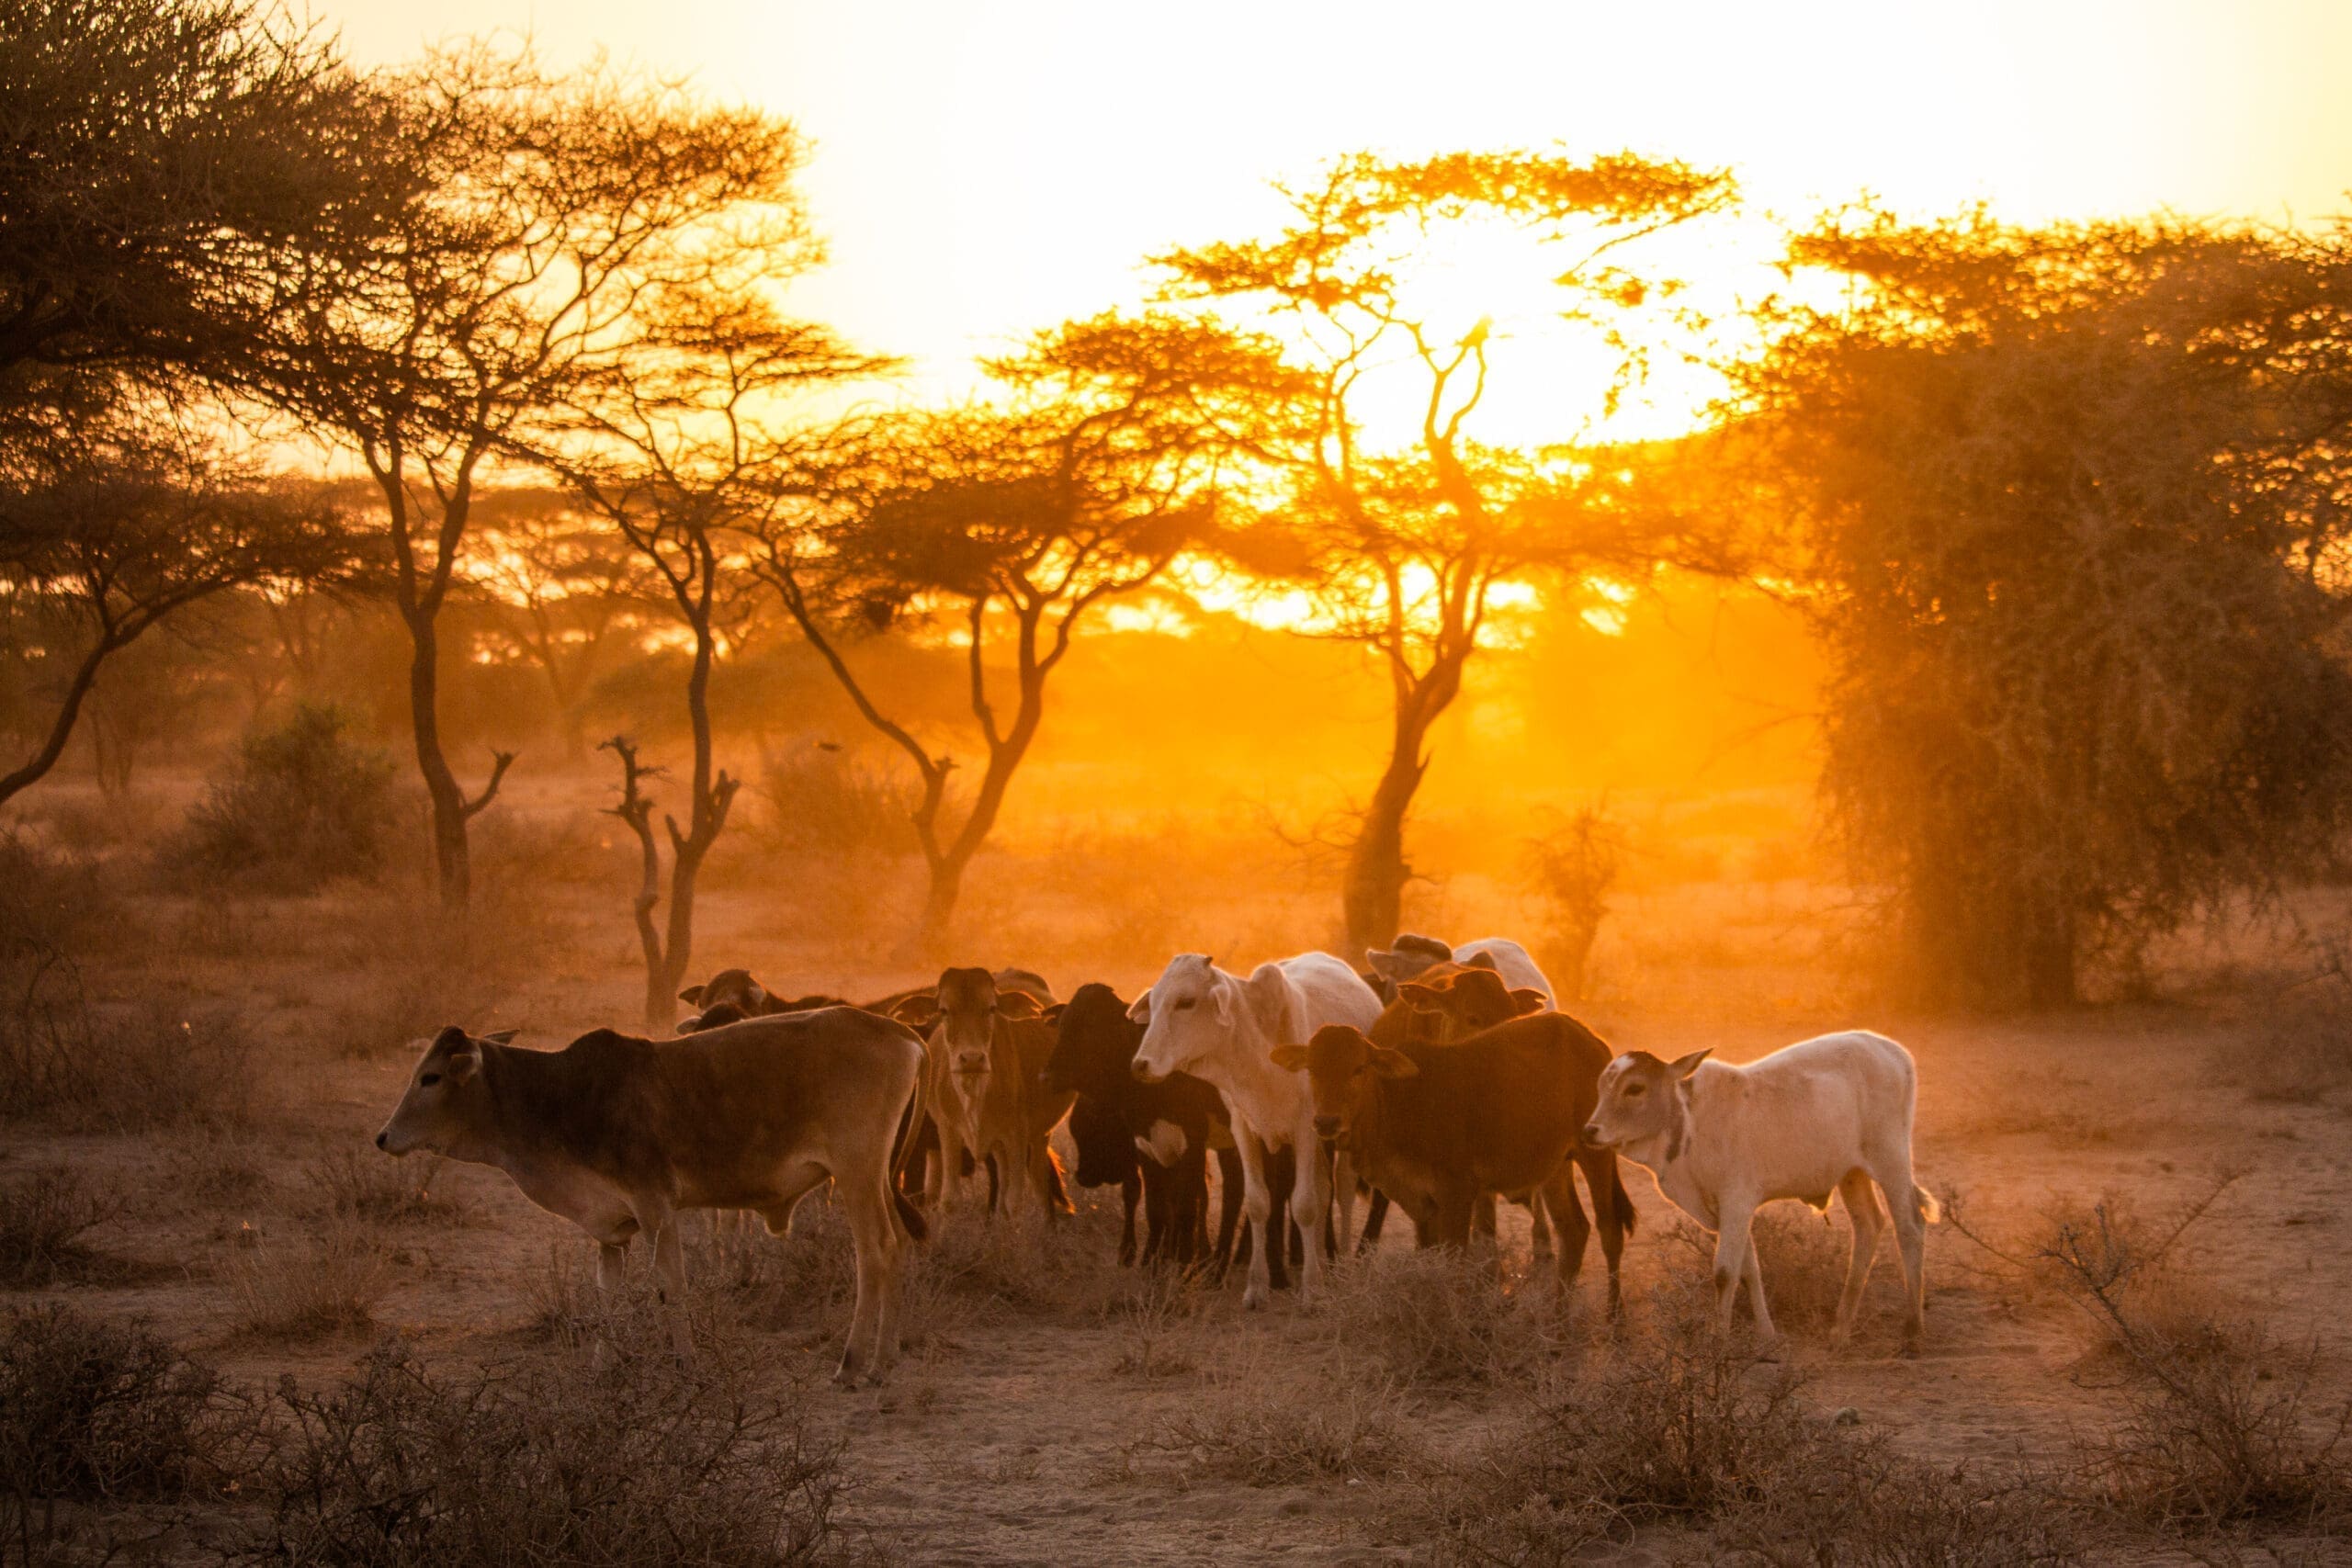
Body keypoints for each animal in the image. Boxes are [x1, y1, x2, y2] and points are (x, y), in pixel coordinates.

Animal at [374, 1009, 927, 1385]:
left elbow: (671, 1287)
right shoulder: (611, 1229)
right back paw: (887, 1359)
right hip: (877, 1177)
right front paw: (601, 1370)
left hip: (855, 1174)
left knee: (874, 1252)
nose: (383, 1137)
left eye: (430, 1078)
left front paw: (686, 1365)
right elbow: (607, 1295)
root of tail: (901, 1033)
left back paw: (854, 1364)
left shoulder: (655, 1206)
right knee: (900, 1245)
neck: (561, 1095)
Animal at [1129, 951, 1382, 1308]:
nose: (1141, 1065)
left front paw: (1310, 1289)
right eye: (1153, 1003)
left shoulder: (1306, 1128)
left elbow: (1305, 1205)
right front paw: (1257, 1288)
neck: (1260, 1054)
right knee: (1324, 1190)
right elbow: (1259, 1202)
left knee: (1342, 1190)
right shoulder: (1244, 1129)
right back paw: (1321, 1261)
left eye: (1186, 1002)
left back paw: (1342, 1262)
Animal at [1279, 1012, 1633, 1312]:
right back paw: (1557, 1320)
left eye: (1358, 1069)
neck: (1396, 1103)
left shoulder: (1458, 1193)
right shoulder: (1420, 1203)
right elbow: (1429, 1257)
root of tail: (1592, 1041)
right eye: (1312, 1069)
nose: (1326, 1121)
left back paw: (1615, 1317)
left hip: (1595, 1152)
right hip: (1556, 1166)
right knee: (1573, 1230)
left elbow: (1453, 1265)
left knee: (1609, 1229)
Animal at [1581, 1030, 1939, 1355]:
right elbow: (1749, 1269)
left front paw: (1718, 1343)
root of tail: (1893, 1051)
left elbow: (1725, 1272)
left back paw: (1912, 1332)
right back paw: (1840, 1330)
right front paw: (1767, 1336)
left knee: (1909, 1227)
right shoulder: (1727, 1213)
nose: (1590, 1131)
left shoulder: (1736, 1202)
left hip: (1891, 1160)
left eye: (1634, 1088)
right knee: (1868, 1226)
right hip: (1852, 1173)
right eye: (1600, 1088)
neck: (1688, 1123)